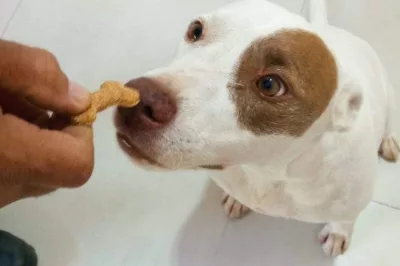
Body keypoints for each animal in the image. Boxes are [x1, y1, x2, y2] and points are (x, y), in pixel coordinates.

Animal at [114, 0, 398, 256]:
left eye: (270, 85)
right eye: (196, 30)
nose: (140, 99)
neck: (269, 172)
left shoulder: (351, 204)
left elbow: (345, 220)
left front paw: (339, 233)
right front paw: (237, 200)